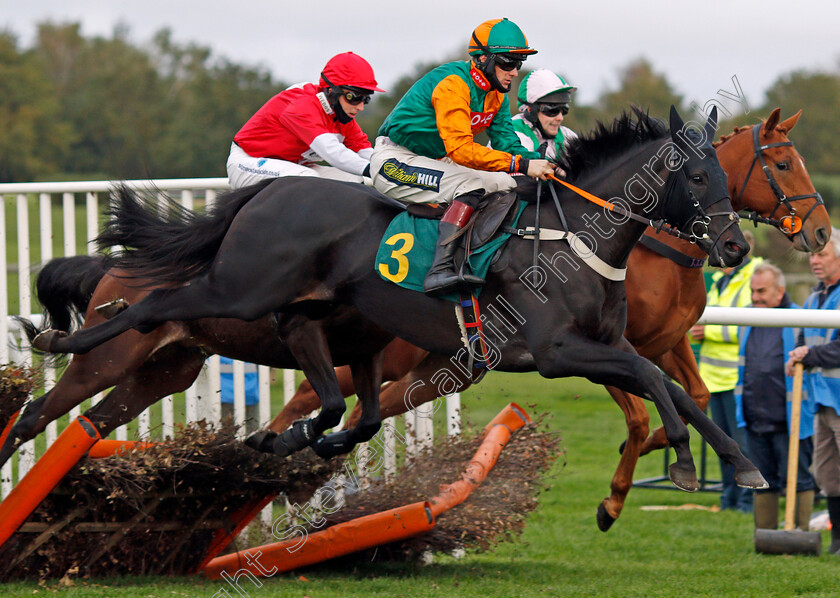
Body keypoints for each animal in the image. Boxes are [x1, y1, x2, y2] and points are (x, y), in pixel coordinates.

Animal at [6, 106, 756, 496]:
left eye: (724, 174)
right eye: (696, 176)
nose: (735, 246)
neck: (570, 235)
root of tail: (269, 191)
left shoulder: (607, 343)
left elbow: (669, 384)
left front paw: (738, 463)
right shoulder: (555, 351)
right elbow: (650, 378)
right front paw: (683, 457)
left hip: (211, 348)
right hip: (237, 292)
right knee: (130, 324)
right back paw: (58, 340)